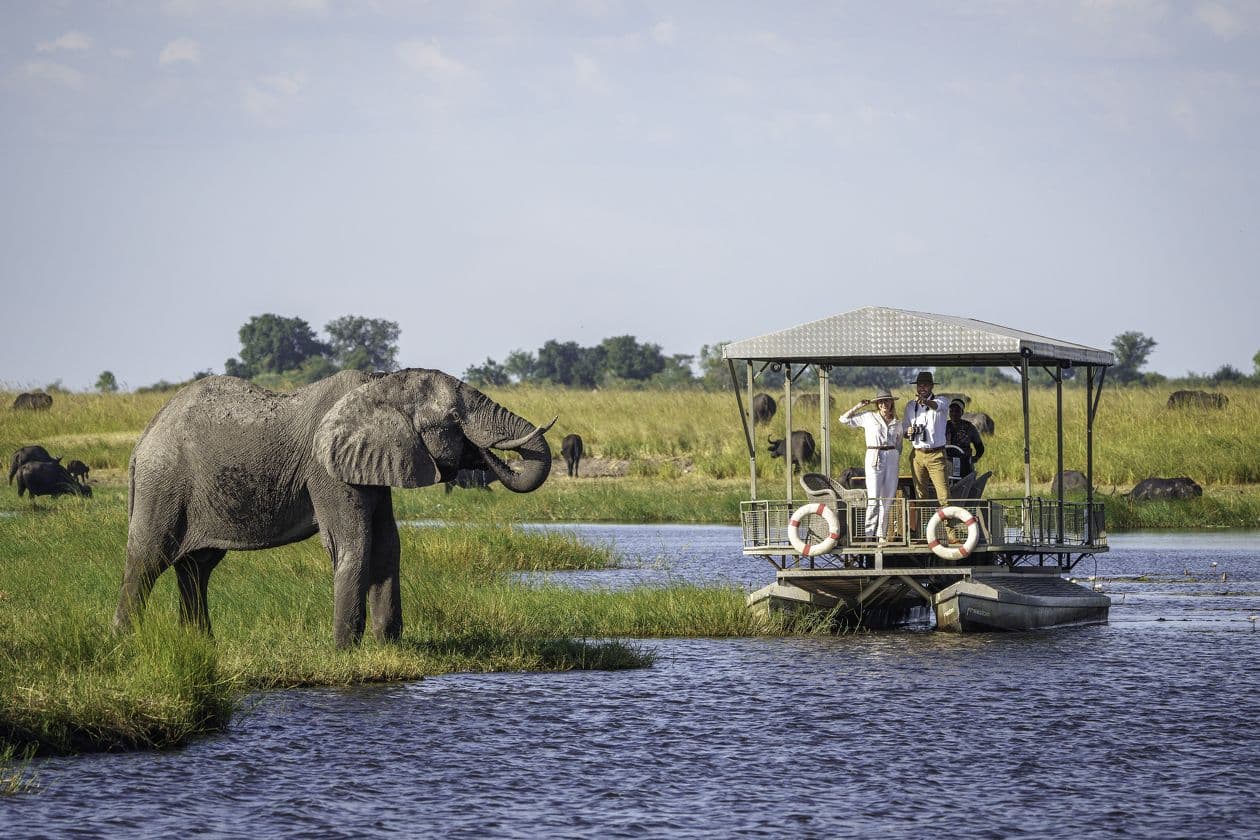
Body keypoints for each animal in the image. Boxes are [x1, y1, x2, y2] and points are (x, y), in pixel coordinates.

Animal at [114, 368, 556, 648]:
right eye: (451, 419)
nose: (486, 453)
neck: (378, 385)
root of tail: (142, 441)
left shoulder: (374, 462)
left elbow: (387, 546)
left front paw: (388, 645)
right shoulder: (326, 468)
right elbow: (353, 544)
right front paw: (344, 650)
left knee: (196, 567)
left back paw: (202, 645)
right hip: (163, 483)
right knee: (148, 558)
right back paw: (127, 643)